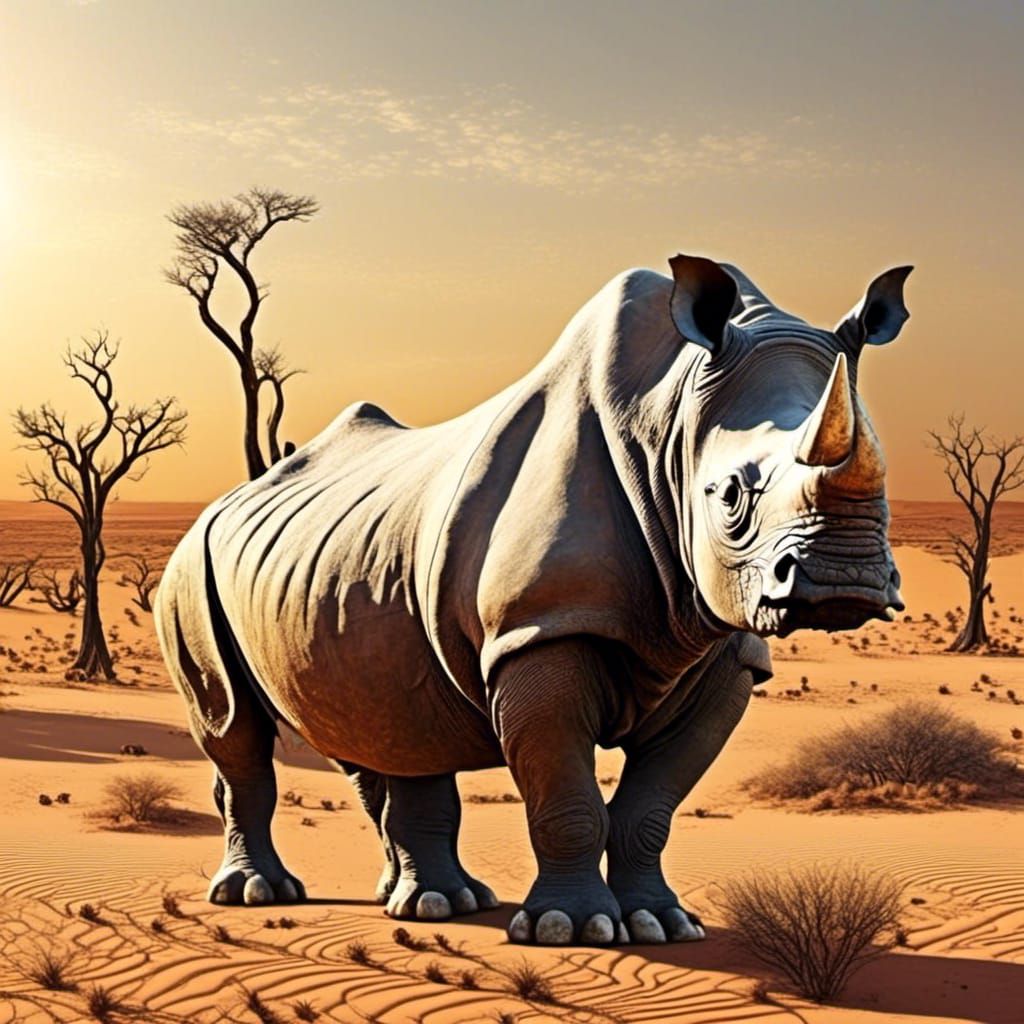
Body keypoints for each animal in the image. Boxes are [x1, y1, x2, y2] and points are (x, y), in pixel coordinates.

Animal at [156, 254, 910, 946]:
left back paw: (432, 902)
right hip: (189, 570)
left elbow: (652, 808)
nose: (843, 582)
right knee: (235, 726)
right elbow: (566, 793)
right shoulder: (538, 628)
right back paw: (264, 894)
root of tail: (224, 501)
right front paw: (570, 930)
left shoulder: (725, 647)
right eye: (728, 495)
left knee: (386, 724)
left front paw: (661, 924)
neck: (671, 417)